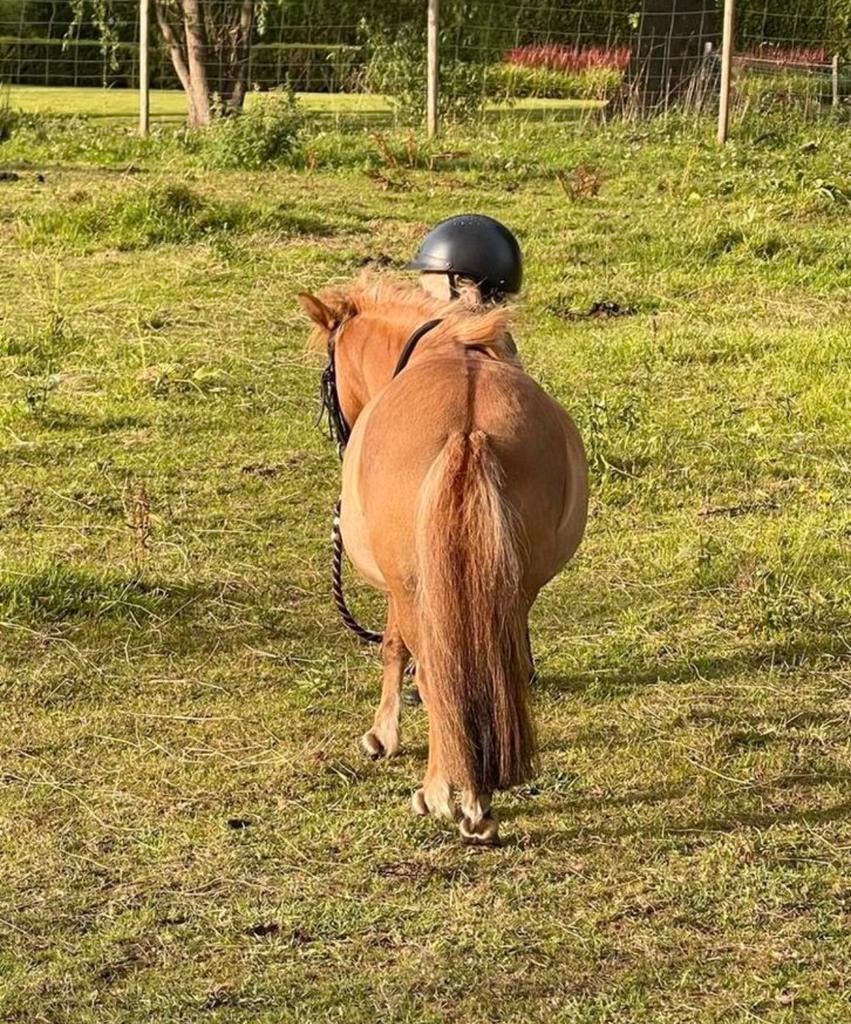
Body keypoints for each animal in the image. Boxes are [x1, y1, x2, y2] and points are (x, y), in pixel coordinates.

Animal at [299, 277, 588, 845]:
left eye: (328, 377)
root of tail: (467, 430)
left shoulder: (398, 589)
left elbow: (393, 648)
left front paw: (381, 736)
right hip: (509, 590)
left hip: (419, 592)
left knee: (438, 677)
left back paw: (445, 795)